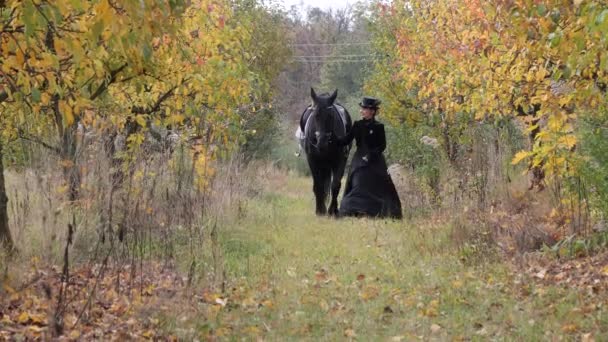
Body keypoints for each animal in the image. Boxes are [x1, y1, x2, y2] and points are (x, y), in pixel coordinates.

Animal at [300, 88, 352, 216]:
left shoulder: (340, 160)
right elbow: (318, 185)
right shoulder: (313, 161)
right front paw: (320, 210)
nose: (321, 142)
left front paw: (333, 210)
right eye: (315, 115)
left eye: (331, 116)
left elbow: (335, 185)